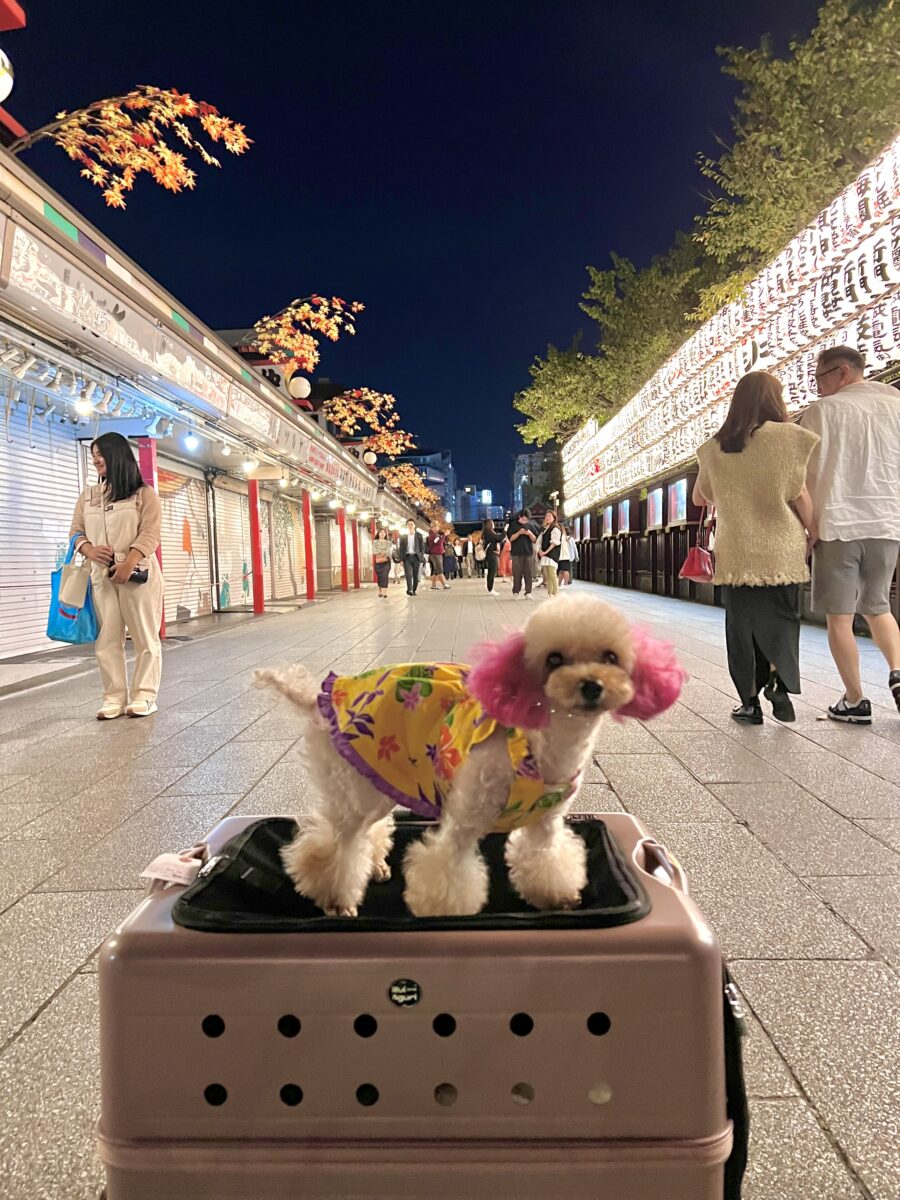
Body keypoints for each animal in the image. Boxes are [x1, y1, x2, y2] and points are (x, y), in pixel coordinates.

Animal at [255, 593, 684, 918]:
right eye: (554, 659)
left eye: (611, 657)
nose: (591, 685)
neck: (543, 742)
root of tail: (319, 697)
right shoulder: (464, 819)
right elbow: (449, 869)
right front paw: (442, 913)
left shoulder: (546, 825)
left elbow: (548, 859)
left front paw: (555, 897)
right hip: (354, 786)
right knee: (336, 842)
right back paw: (335, 898)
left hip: (379, 781)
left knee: (366, 831)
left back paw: (374, 865)